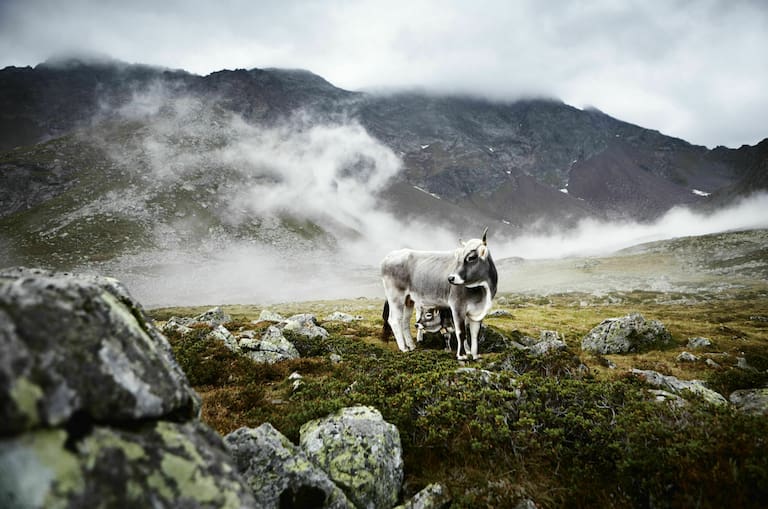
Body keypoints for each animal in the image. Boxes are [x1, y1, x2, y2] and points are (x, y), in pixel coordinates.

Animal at [380, 228, 498, 360]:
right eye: (458, 258)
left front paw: (475, 355)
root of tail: (390, 256)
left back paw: (411, 345)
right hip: (396, 296)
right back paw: (404, 348)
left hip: (408, 299)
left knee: (405, 321)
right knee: (395, 320)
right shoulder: (457, 306)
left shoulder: (478, 311)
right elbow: (461, 332)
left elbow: (474, 333)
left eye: (472, 257)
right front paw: (462, 355)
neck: (482, 292)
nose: (451, 278)